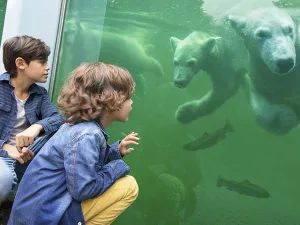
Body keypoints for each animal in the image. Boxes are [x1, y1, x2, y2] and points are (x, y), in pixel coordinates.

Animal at [227, 7, 300, 135]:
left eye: (289, 29)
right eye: (261, 34)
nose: (285, 62)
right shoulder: (260, 75)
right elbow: (263, 110)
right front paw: (286, 116)